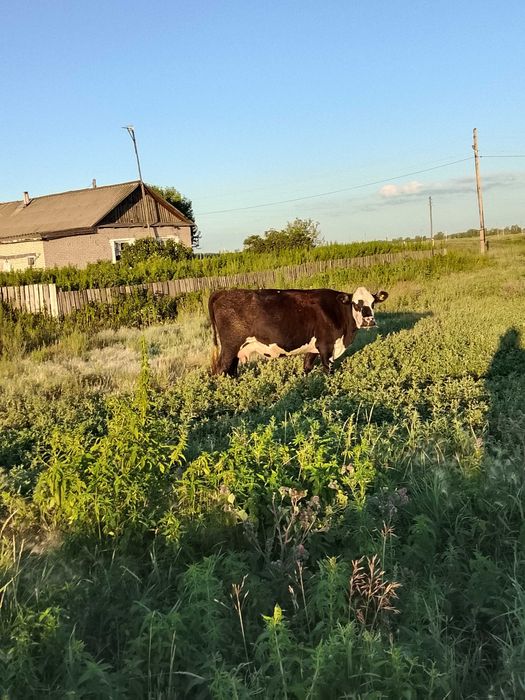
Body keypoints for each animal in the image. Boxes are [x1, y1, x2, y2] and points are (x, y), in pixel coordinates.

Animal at [208, 286, 388, 377]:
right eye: (355, 304)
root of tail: (223, 292)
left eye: (373, 303)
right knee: (221, 370)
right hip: (230, 347)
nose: (369, 321)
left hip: (237, 350)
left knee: (231, 370)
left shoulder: (313, 348)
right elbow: (328, 370)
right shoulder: (326, 347)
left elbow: (307, 368)